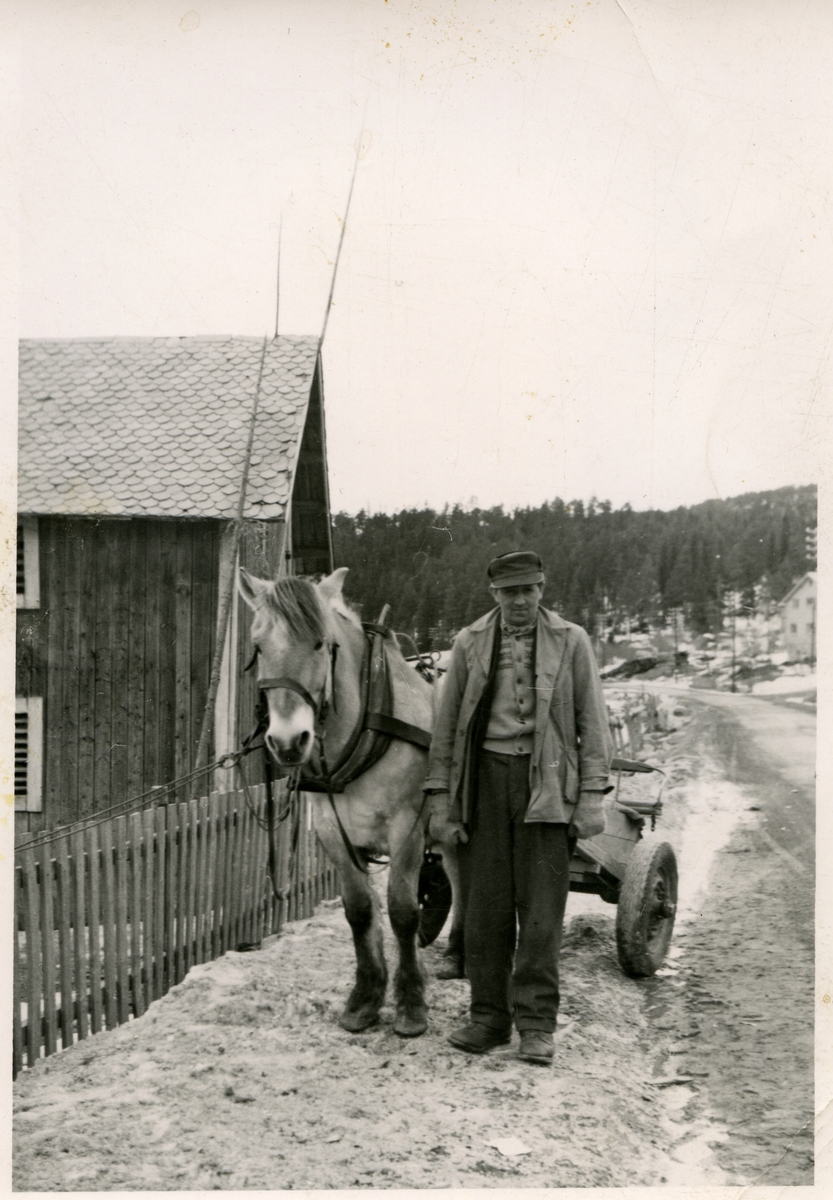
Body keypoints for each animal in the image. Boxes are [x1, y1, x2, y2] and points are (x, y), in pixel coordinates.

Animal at [237, 566, 465, 1036]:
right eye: (259, 646)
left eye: (320, 643)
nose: (288, 742)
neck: (365, 730)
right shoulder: (333, 832)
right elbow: (359, 911)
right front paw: (365, 999)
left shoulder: (407, 828)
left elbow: (402, 911)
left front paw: (411, 1004)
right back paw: (454, 955)